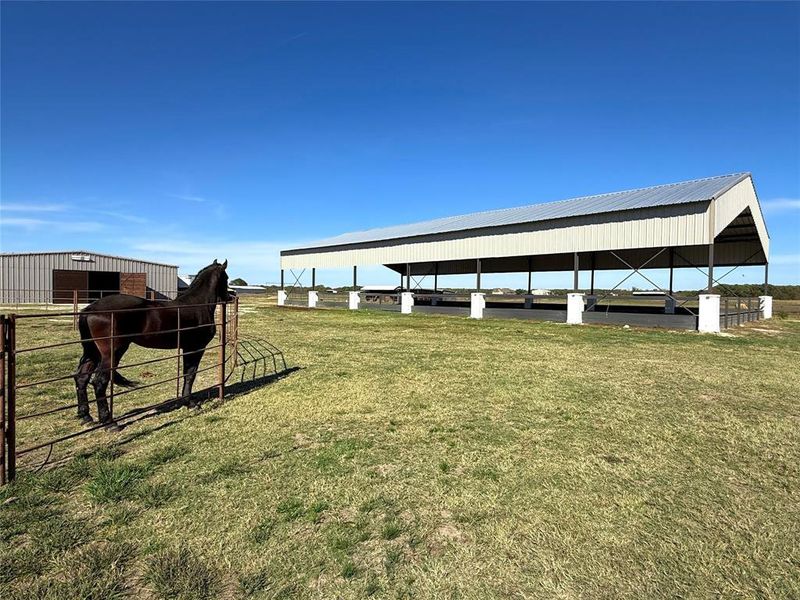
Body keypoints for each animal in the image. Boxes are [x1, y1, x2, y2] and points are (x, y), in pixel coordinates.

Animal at [74, 259, 231, 428]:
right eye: (226, 278)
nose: (230, 296)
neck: (197, 305)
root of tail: (90, 309)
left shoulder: (186, 347)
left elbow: (186, 374)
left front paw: (185, 402)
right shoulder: (195, 347)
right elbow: (190, 375)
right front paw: (191, 404)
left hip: (93, 352)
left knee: (81, 378)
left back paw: (86, 416)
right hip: (111, 353)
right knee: (100, 382)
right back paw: (109, 423)